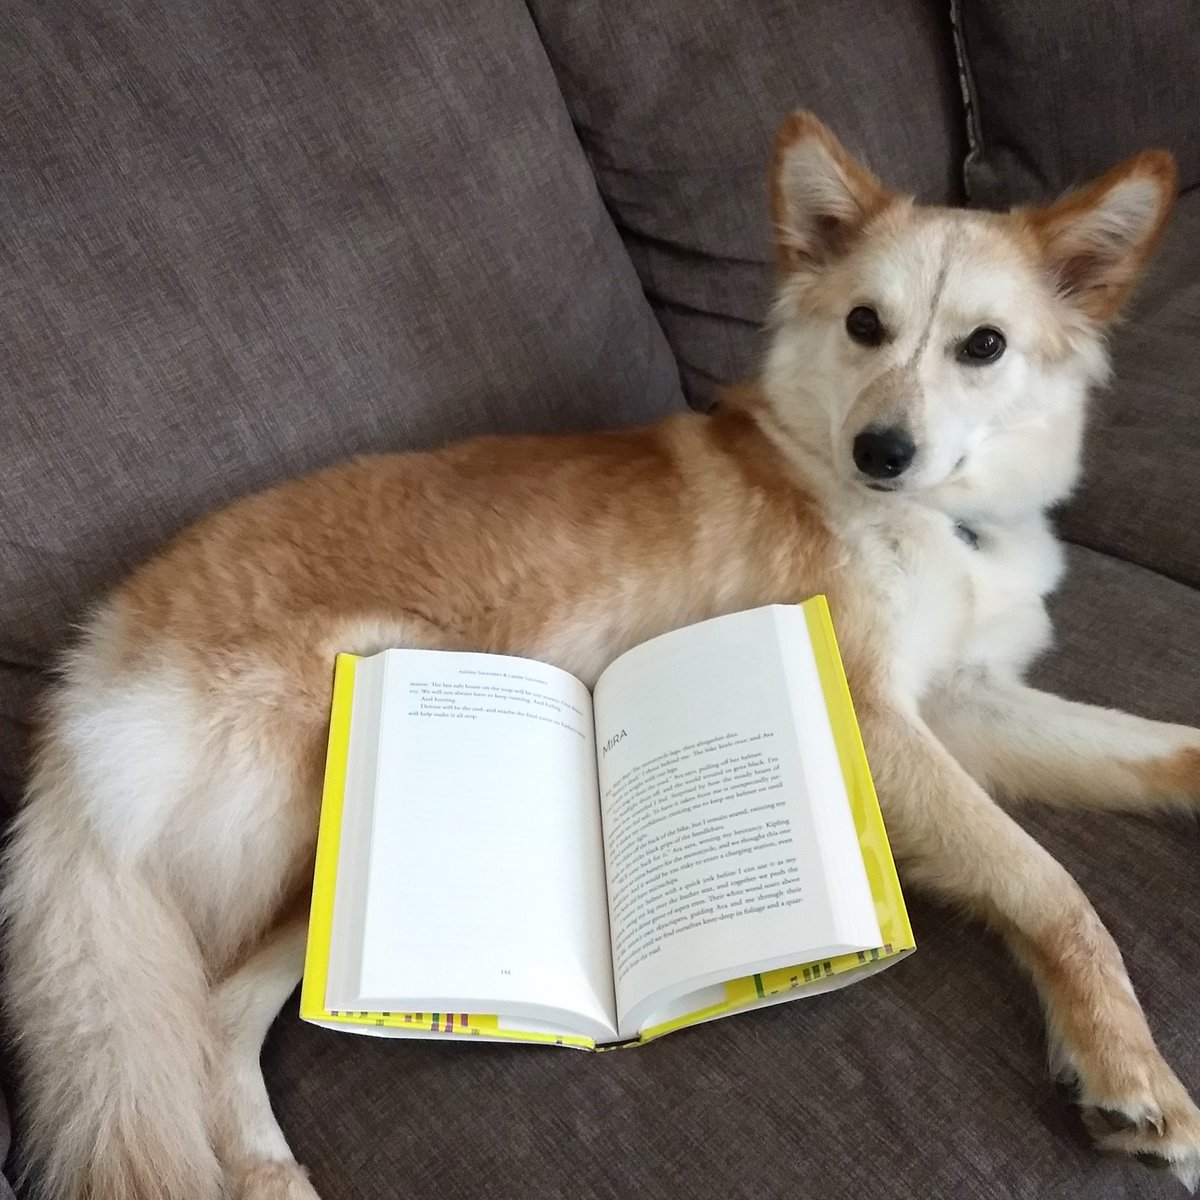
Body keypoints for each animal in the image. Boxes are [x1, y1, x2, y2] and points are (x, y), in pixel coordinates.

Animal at [3, 111, 1199, 1198]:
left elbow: (1156, 751)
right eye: (866, 323)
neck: (937, 518)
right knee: (213, 1010)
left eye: (983, 345)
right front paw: (1132, 1072)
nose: (881, 452)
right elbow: (1048, 884)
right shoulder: (874, 719)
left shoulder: (963, 704)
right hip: (331, 789)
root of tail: (88, 669)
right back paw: (264, 1170)